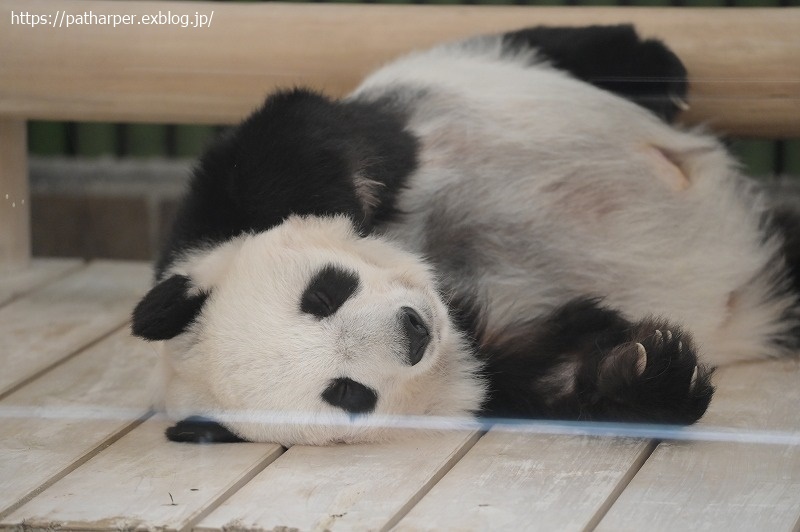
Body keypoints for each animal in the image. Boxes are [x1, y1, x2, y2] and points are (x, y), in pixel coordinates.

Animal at [131, 25, 800, 444]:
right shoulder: (493, 366)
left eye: (322, 295)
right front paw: (647, 368)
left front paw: (347, 204)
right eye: (347, 394)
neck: (448, 288)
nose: (412, 331)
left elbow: (286, 145)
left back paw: (656, 67)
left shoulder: (207, 221)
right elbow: (556, 375)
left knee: (543, 47)